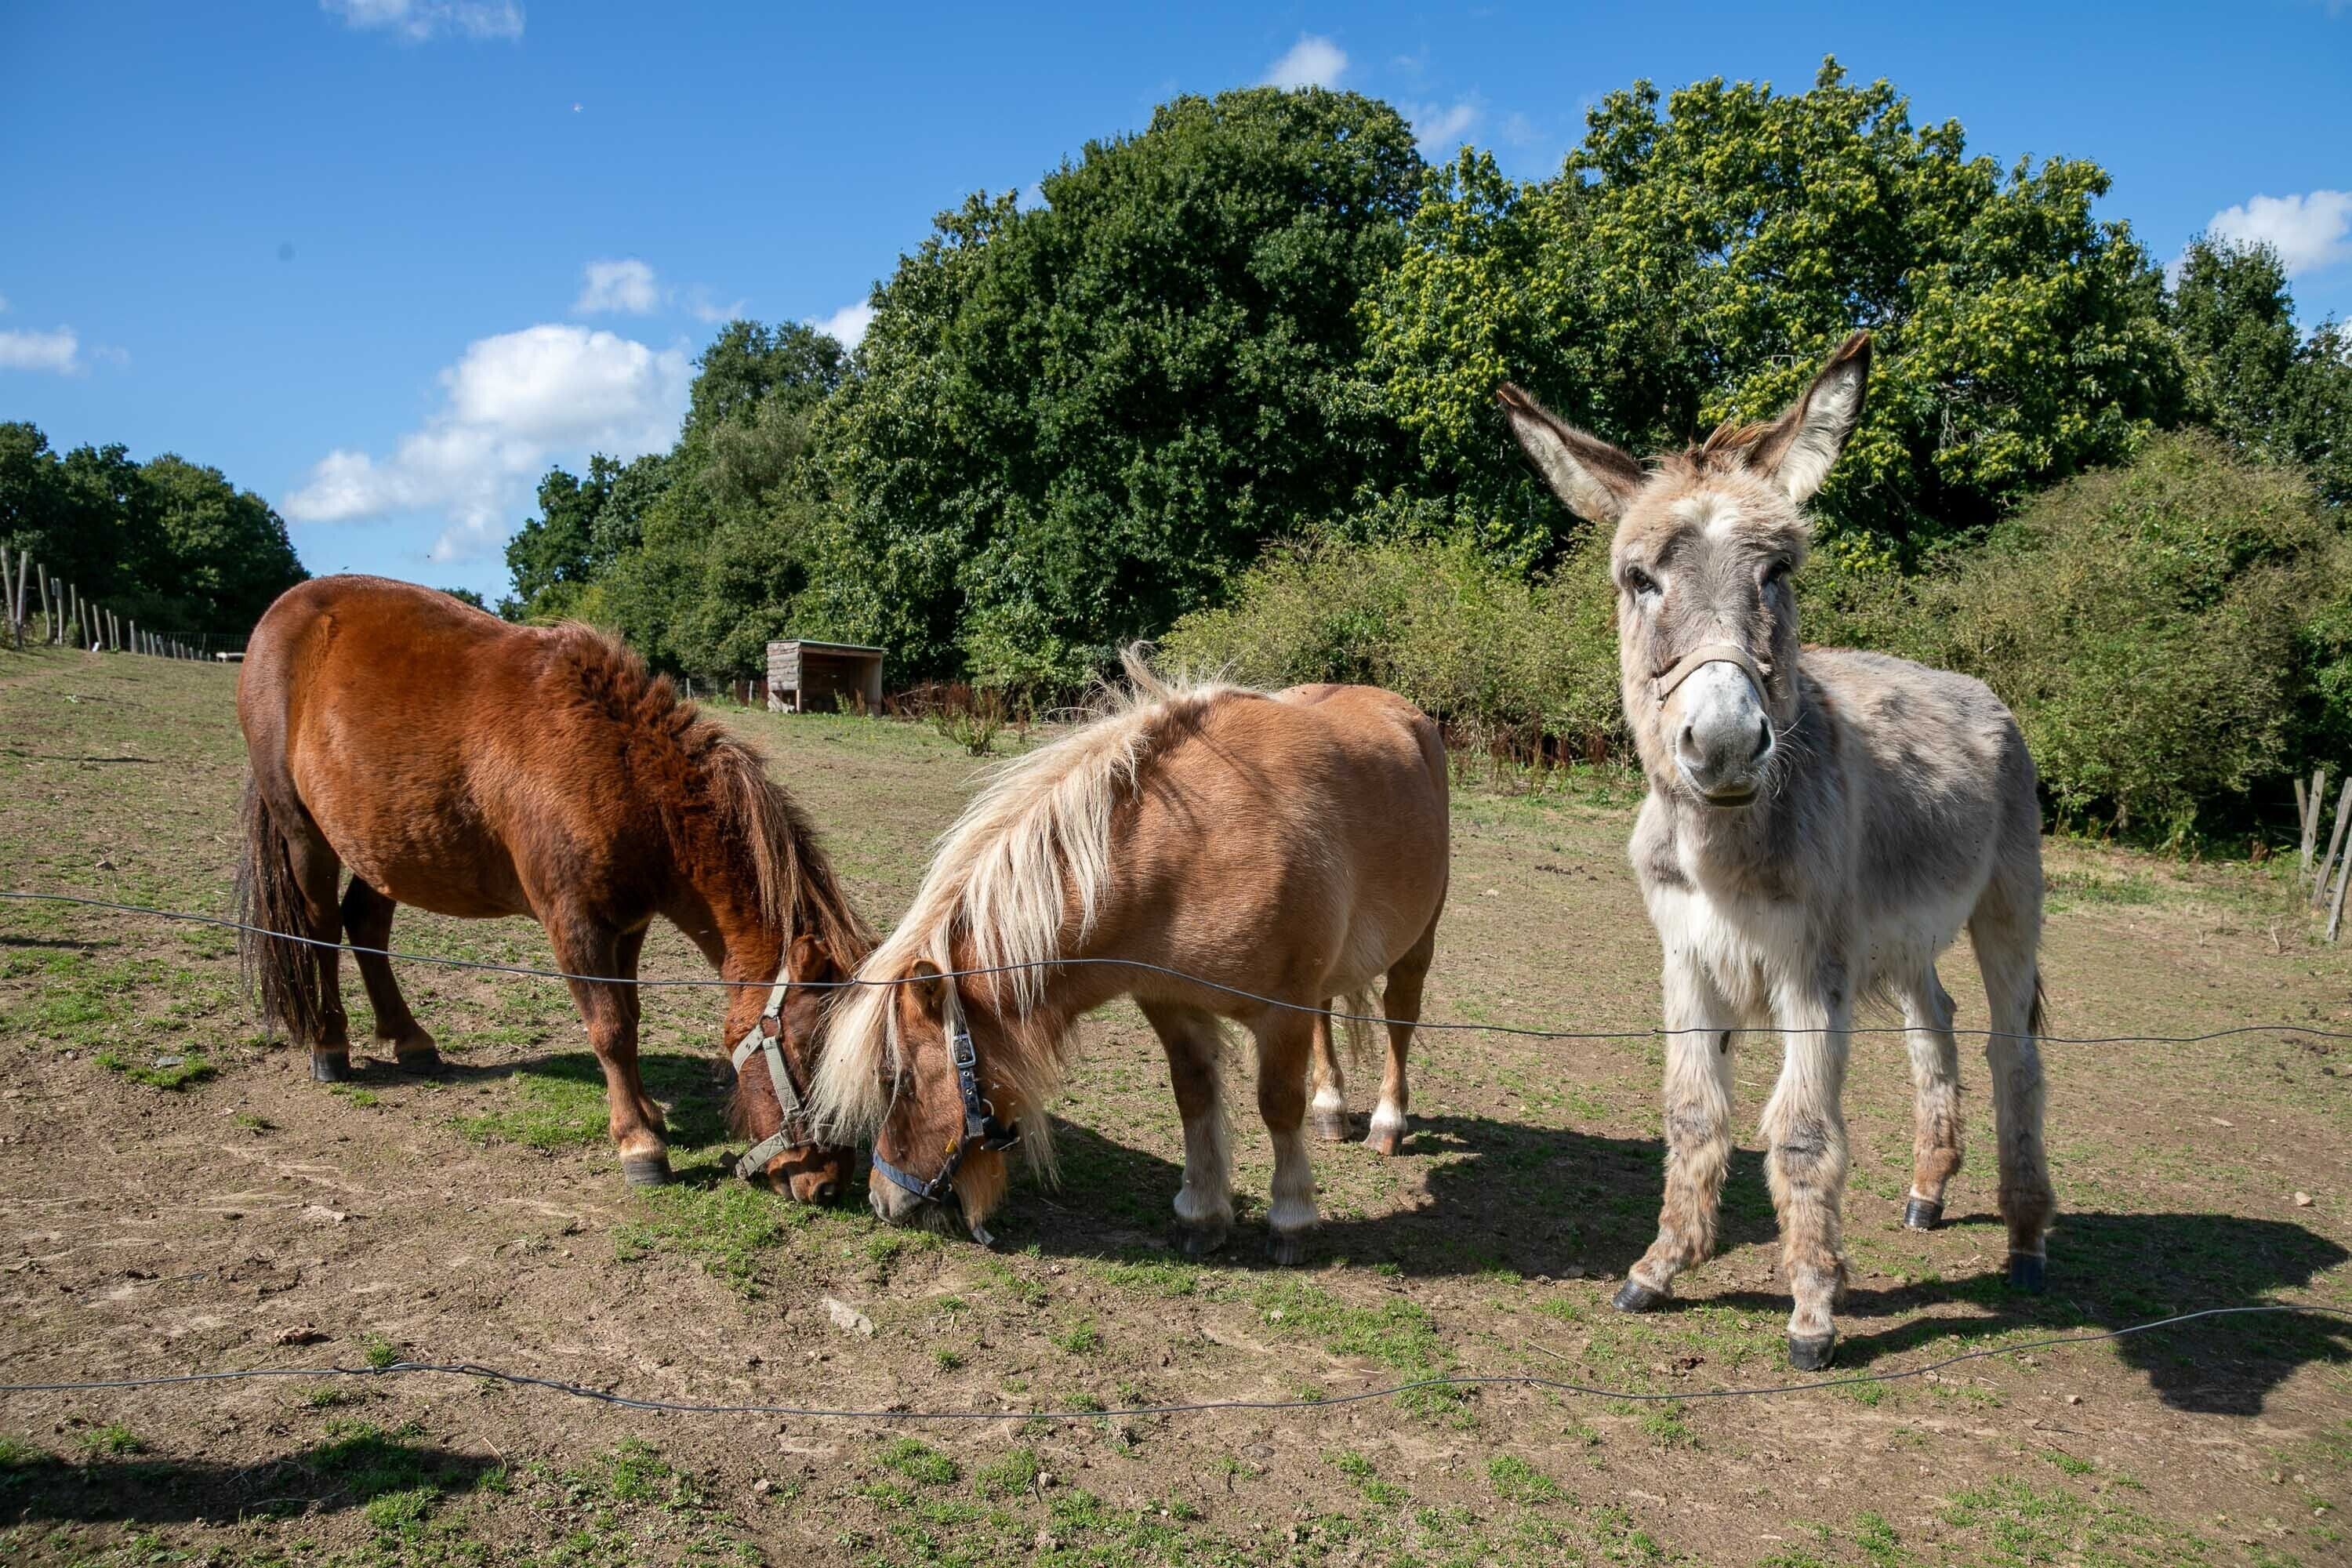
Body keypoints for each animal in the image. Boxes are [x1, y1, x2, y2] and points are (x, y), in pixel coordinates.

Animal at [233, 575, 871, 1201]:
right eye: (807, 1050)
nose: (827, 1184)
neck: (622, 771)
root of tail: (279, 614)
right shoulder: (575, 925)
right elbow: (610, 1029)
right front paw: (640, 1144)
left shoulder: (628, 925)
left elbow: (630, 1013)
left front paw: (646, 1112)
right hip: (305, 835)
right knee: (319, 929)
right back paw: (328, 1043)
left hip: (385, 846)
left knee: (366, 926)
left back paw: (410, 1039)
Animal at [807, 658, 1449, 1261]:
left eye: (896, 1078)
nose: (882, 1199)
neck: (1194, 850)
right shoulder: (1170, 1003)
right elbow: (1194, 1097)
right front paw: (1200, 1214)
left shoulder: (1281, 1011)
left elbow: (1277, 1106)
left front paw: (1291, 1219)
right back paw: (1331, 1108)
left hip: (1417, 946)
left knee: (1400, 1020)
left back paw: (1387, 1123)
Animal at [1497, 333, 2054, 1370]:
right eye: (1639, 579)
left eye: (1779, 573)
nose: (1722, 742)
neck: (1726, 848)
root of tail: (1972, 685)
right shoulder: (1687, 955)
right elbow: (1691, 1114)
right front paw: (1660, 1266)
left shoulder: (1813, 971)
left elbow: (1801, 1134)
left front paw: (1812, 1309)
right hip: (1907, 936)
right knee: (1936, 1022)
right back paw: (1928, 1189)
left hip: (2008, 902)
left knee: (2015, 1052)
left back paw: (2028, 1237)